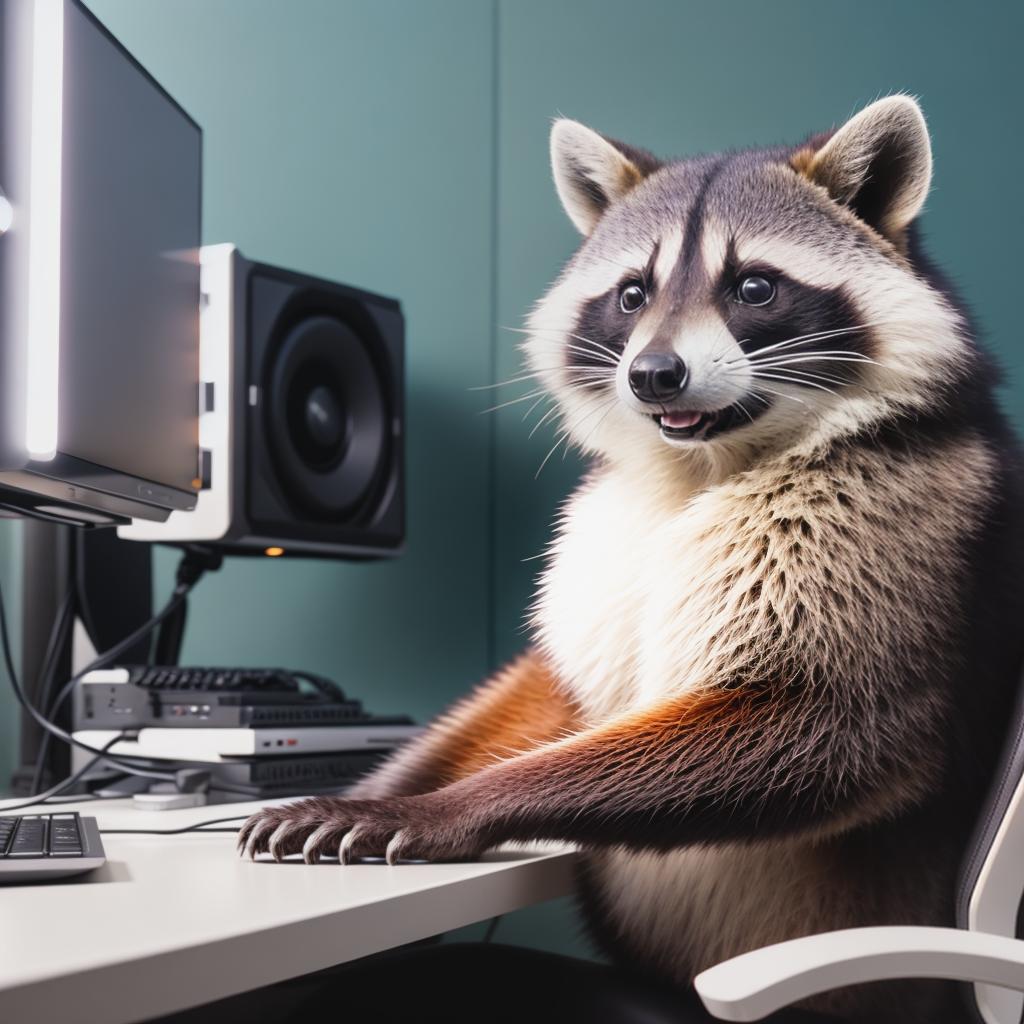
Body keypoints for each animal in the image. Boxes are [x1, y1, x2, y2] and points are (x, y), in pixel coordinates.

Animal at [239, 97, 1024, 1024]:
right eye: (631, 294)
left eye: (754, 287)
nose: (654, 375)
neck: (697, 466)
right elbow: (548, 686)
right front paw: (391, 784)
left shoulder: (902, 515)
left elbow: (834, 726)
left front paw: (455, 805)